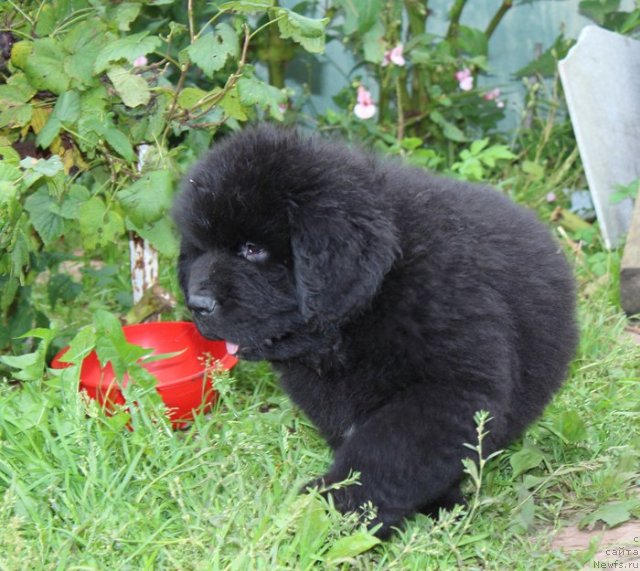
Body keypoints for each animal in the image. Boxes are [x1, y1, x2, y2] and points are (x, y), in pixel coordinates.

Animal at [172, 124, 576, 536]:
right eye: (200, 248)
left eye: (252, 250)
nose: (197, 304)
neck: (373, 299)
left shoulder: (446, 388)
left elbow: (387, 454)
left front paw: (337, 505)